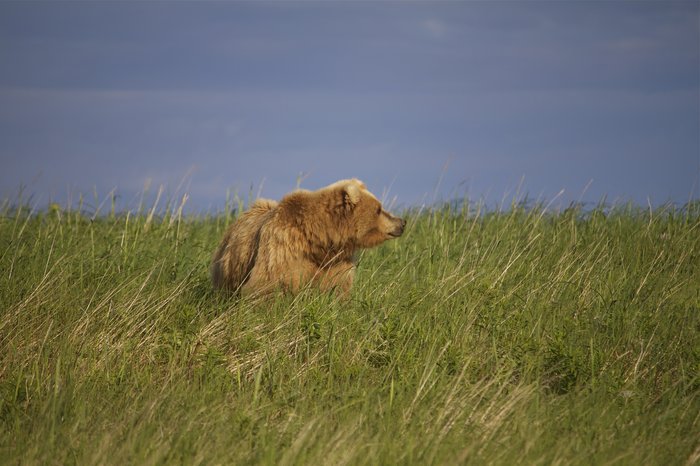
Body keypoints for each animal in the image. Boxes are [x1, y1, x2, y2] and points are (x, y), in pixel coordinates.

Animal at [211, 179, 405, 296]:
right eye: (379, 209)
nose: (402, 222)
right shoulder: (285, 250)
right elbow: (266, 286)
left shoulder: (335, 262)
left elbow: (338, 288)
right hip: (231, 265)